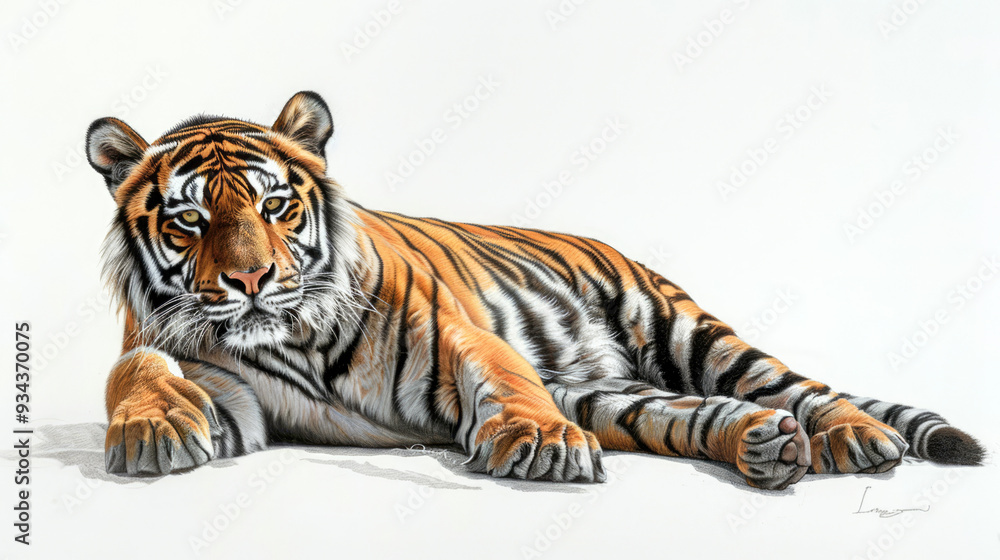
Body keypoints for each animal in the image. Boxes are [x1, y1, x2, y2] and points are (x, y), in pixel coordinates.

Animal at [85, 91, 984, 490]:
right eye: (191, 222)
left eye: (274, 207)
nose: (251, 280)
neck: (294, 337)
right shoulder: (220, 384)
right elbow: (132, 371)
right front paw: (152, 430)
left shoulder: (457, 330)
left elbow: (502, 373)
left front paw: (540, 443)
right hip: (610, 392)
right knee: (692, 415)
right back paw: (767, 447)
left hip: (684, 331)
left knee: (799, 387)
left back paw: (854, 438)